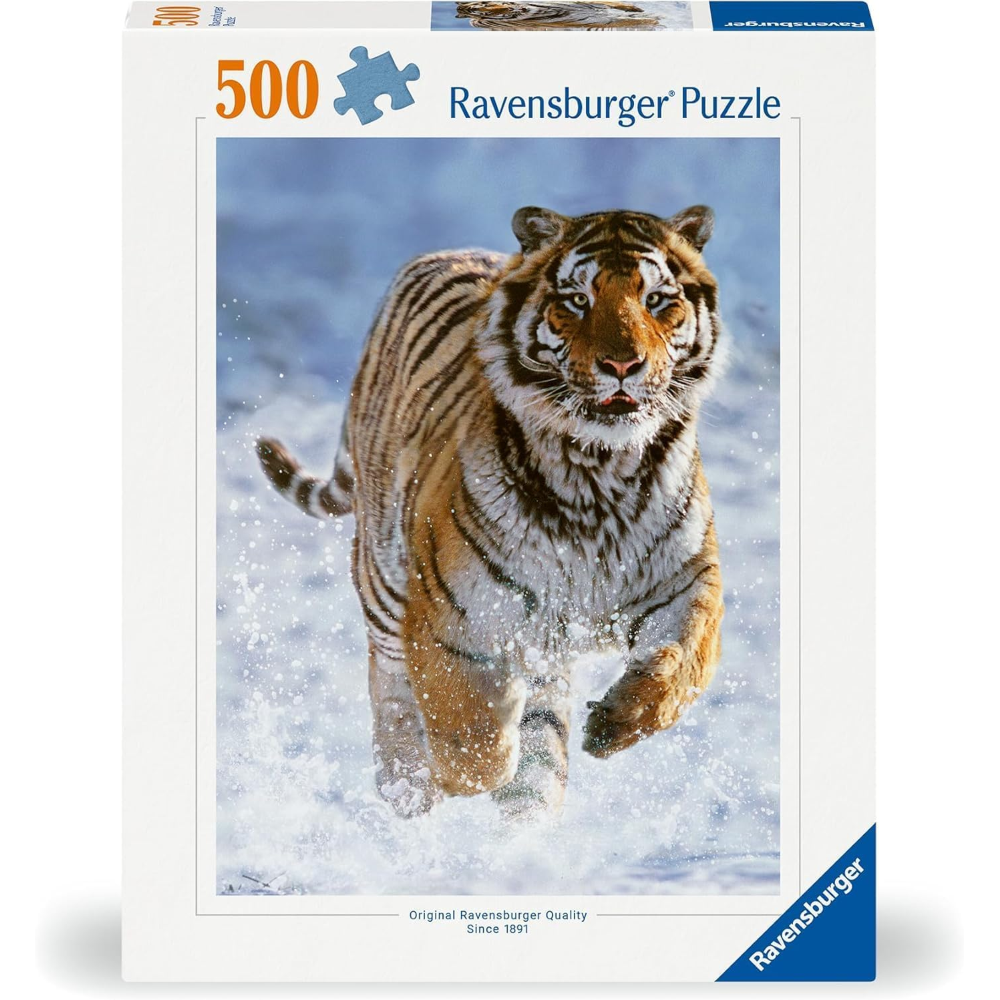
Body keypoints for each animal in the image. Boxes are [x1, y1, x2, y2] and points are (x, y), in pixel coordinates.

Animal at [258, 204, 725, 819]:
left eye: (656, 300)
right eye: (577, 300)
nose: (623, 364)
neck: (598, 473)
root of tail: (443, 253)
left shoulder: (687, 581)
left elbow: (685, 663)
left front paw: (615, 723)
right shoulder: (449, 617)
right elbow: (472, 744)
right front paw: (455, 770)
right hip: (383, 580)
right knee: (390, 687)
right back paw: (406, 787)